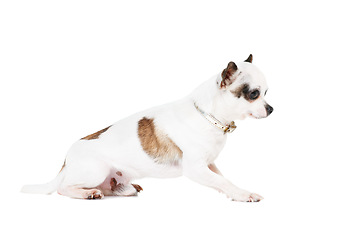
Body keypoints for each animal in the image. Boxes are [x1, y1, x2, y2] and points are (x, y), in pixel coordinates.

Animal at [21, 54, 272, 201]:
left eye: (267, 93)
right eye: (254, 94)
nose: (271, 109)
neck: (208, 116)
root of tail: (65, 162)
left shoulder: (209, 165)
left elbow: (222, 179)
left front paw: (234, 193)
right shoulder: (196, 169)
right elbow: (222, 180)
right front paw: (243, 194)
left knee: (109, 187)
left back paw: (120, 189)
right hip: (95, 171)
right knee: (63, 188)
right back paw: (88, 193)